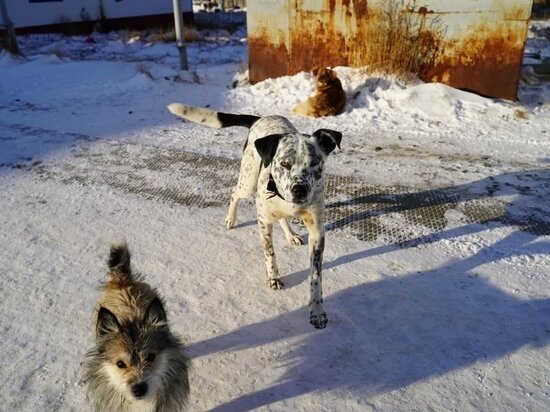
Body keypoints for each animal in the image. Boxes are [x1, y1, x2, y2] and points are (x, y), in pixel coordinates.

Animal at [168, 103, 342, 328]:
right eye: (284, 164)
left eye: (314, 163)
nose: (299, 190)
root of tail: (260, 118)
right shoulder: (263, 222)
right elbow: (270, 253)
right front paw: (273, 278)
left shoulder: (317, 231)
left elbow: (316, 275)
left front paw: (317, 310)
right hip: (248, 181)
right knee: (234, 192)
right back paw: (231, 219)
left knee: (281, 217)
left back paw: (291, 234)